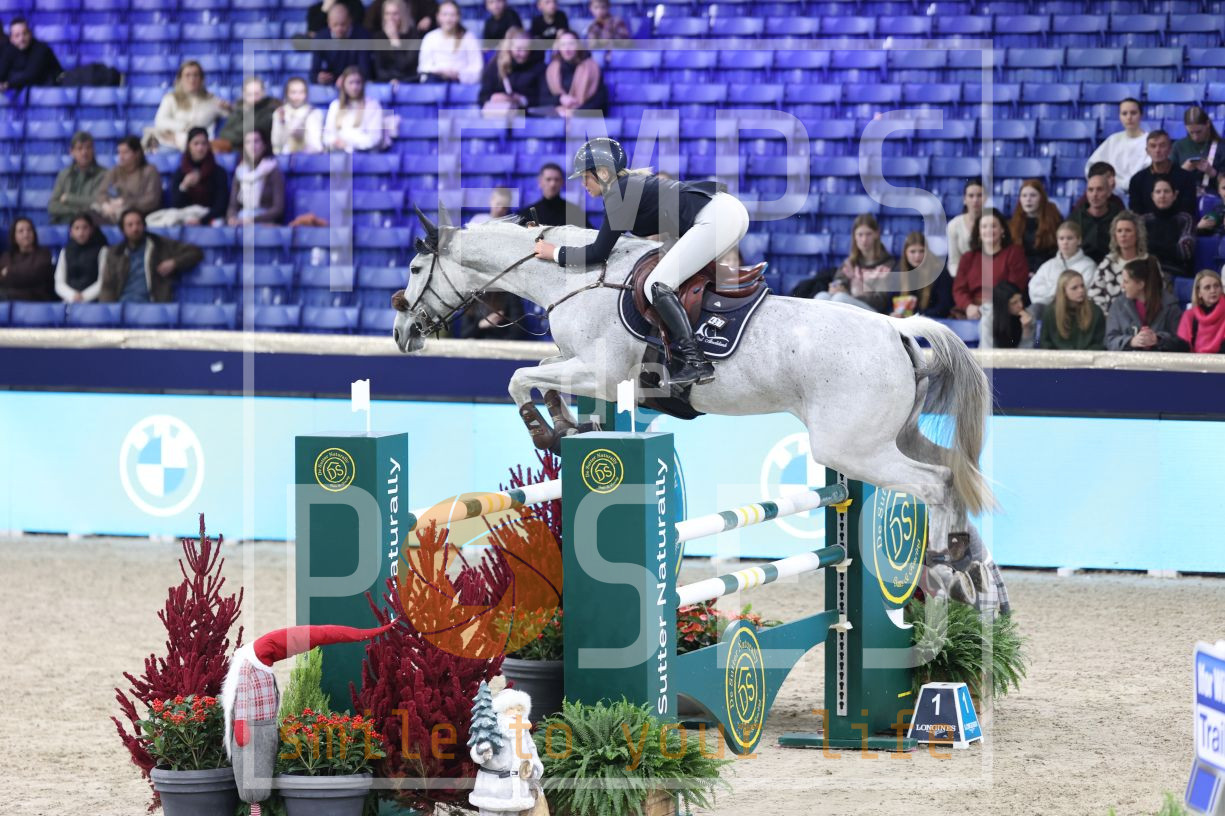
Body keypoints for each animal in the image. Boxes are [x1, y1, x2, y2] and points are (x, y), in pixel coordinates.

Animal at [390, 212, 1007, 611]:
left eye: (417, 270)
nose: (401, 333)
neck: (576, 276)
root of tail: (895, 329)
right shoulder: (582, 365)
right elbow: (539, 371)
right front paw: (565, 423)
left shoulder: (602, 371)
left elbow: (519, 377)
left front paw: (549, 430)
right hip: (891, 437)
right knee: (955, 472)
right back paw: (972, 570)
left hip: (852, 448)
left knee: (933, 483)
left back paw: (943, 565)